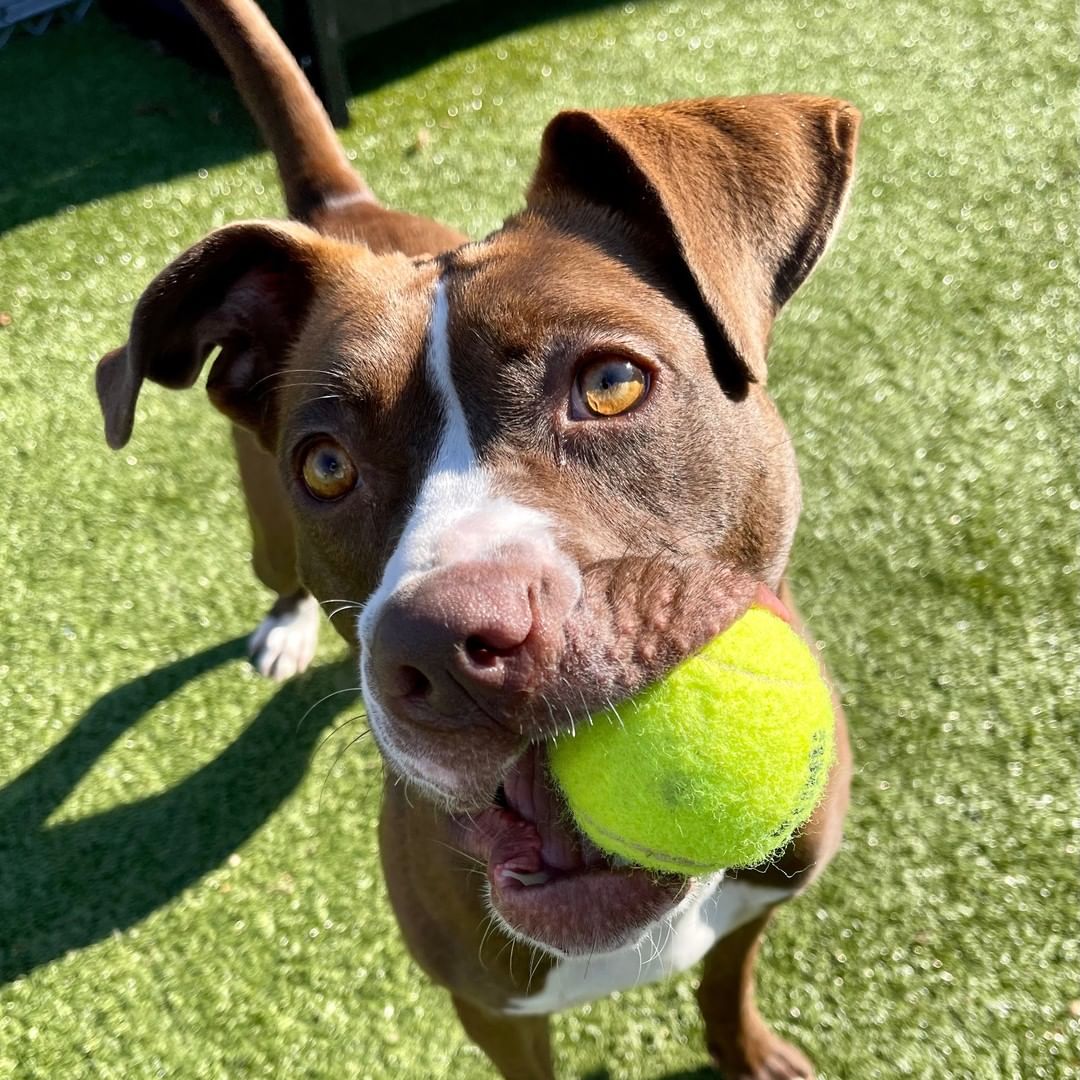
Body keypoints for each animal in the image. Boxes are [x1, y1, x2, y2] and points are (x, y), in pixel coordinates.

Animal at [99, 4, 859, 1075]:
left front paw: (744, 1048)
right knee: (275, 571)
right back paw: (286, 627)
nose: (445, 645)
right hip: (265, 537)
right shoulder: (491, 1012)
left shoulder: (764, 901)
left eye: (611, 382)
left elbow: (726, 974)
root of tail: (344, 207)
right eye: (324, 466)